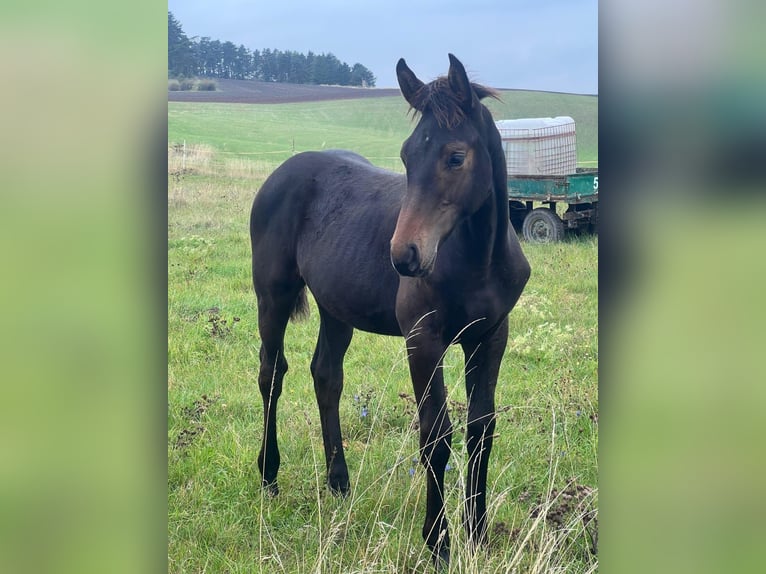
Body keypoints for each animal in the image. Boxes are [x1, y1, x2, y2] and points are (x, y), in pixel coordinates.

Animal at [249, 54, 530, 566]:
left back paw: (339, 482)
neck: (478, 260)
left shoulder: (491, 335)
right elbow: (436, 434)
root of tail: (282, 172)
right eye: (405, 156)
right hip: (273, 295)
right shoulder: (424, 340)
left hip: (335, 307)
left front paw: (478, 535)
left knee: (326, 375)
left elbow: (481, 428)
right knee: (271, 373)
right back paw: (269, 473)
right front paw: (438, 542)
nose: (404, 256)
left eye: (455, 156)